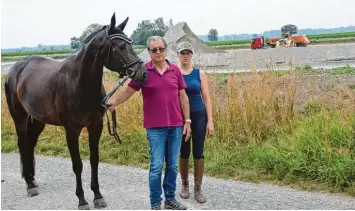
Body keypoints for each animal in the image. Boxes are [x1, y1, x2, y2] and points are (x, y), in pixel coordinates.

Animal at [3, 12, 147, 209]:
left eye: (131, 44)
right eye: (121, 46)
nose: (143, 73)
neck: (79, 82)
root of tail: (16, 68)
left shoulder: (96, 126)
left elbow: (94, 160)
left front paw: (98, 195)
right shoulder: (71, 130)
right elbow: (77, 164)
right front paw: (82, 199)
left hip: (38, 120)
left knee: (30, 144)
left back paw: (31, 179)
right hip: (20, 118)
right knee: (22, 144)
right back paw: (29, 184)